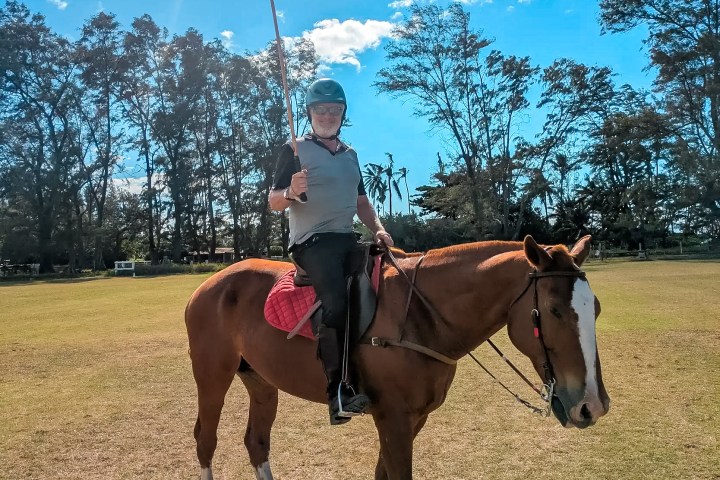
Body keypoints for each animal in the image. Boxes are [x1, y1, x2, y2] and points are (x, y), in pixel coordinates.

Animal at [185, 235, 610, 480]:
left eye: (597, 308)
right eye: (554, 311)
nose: (592, 405)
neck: (421, 316)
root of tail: (207, 284)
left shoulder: (414, 418)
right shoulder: (393, 418)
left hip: (260, 380)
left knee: (256, 441)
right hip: (212, 376)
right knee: (205, 440)